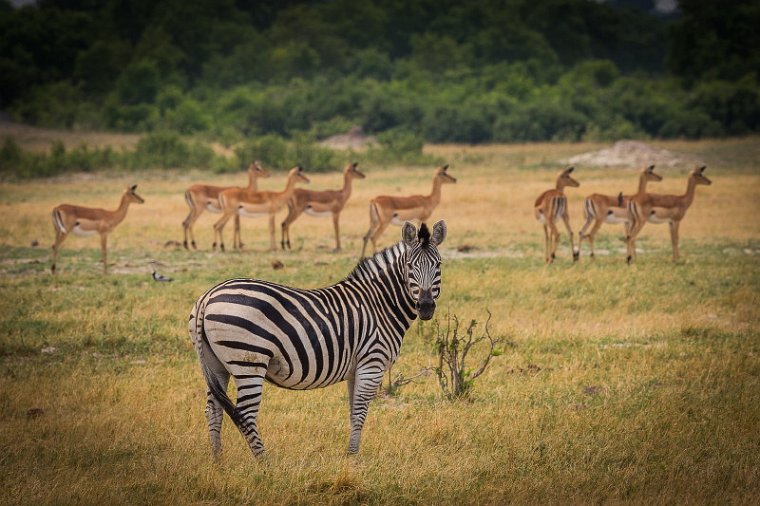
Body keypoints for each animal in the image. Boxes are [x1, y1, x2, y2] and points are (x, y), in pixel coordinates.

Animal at [189, 219, 446, 456]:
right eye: (410, 266)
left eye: (438, 265)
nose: (425, 307)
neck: (380, 303)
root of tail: (208, 296)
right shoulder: (372, 362)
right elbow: (360, 411)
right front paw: (353, 457)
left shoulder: (356, 369)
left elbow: (353, 411)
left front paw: (351, 458)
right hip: (248, 361)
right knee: (245, 413)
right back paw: (264, 463)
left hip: (216, 365)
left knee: (214, 410)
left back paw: (218, 462)